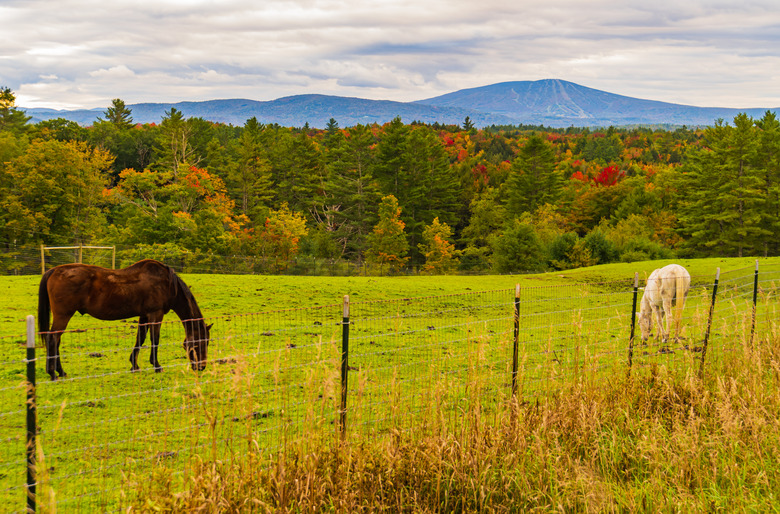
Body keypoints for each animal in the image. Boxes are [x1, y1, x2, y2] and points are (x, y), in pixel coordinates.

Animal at [38, 258, 212, 378]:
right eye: (201, 342)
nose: (201, 366)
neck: (167, 284)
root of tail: (54, 271)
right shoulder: (156, 314)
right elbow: (154, 340)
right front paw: (156, 366)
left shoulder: (144, 315)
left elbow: (140, 339)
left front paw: (134, 365)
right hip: (63, 316)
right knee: (53, 339)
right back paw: (53, 373)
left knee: (56, 340)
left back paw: (60, 372)